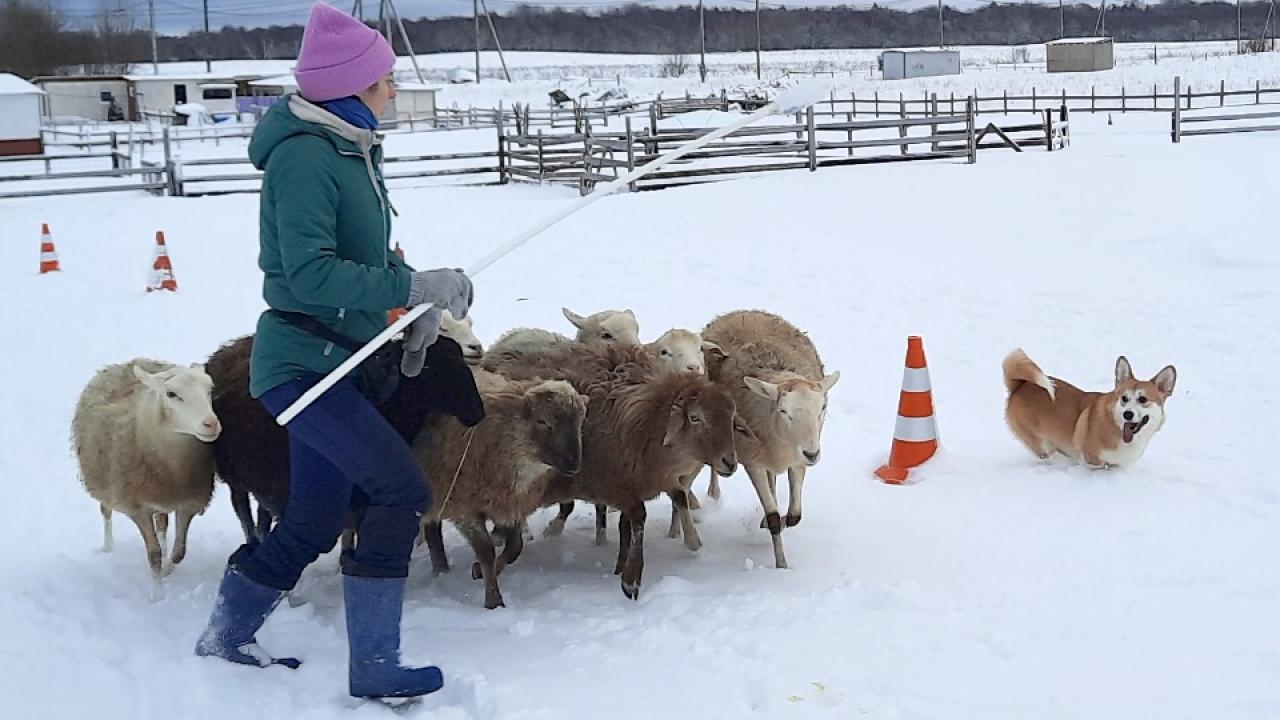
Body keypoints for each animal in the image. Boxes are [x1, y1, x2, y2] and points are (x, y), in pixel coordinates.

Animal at [71, 358, 221, 576]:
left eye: (210, 390)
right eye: (171, 394)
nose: (211, 424)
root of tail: (128, 362)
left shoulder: (188, 503)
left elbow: (179, 552)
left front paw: (168, 569)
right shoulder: (137, 508)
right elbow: (154, 556)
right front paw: (158, 584)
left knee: (162, 525)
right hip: (105, 479)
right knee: (105, 509)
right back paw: (108, 547)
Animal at [701, 308, 839, 566]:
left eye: (822, 408)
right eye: (783, 410)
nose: (812, 454)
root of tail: (741, 310)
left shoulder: (797, 462)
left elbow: (794, 515)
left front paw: (773, 526)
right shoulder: (753, 462)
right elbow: (774, 516)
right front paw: (781, 565)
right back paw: (713, 494)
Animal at [1003, 345, 1172, 466]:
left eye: (1143, 399)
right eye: (1124, 398)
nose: (1127, 414)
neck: (1117, 427)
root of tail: (1019, 385)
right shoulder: (1092, 458)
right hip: (1038, 442)